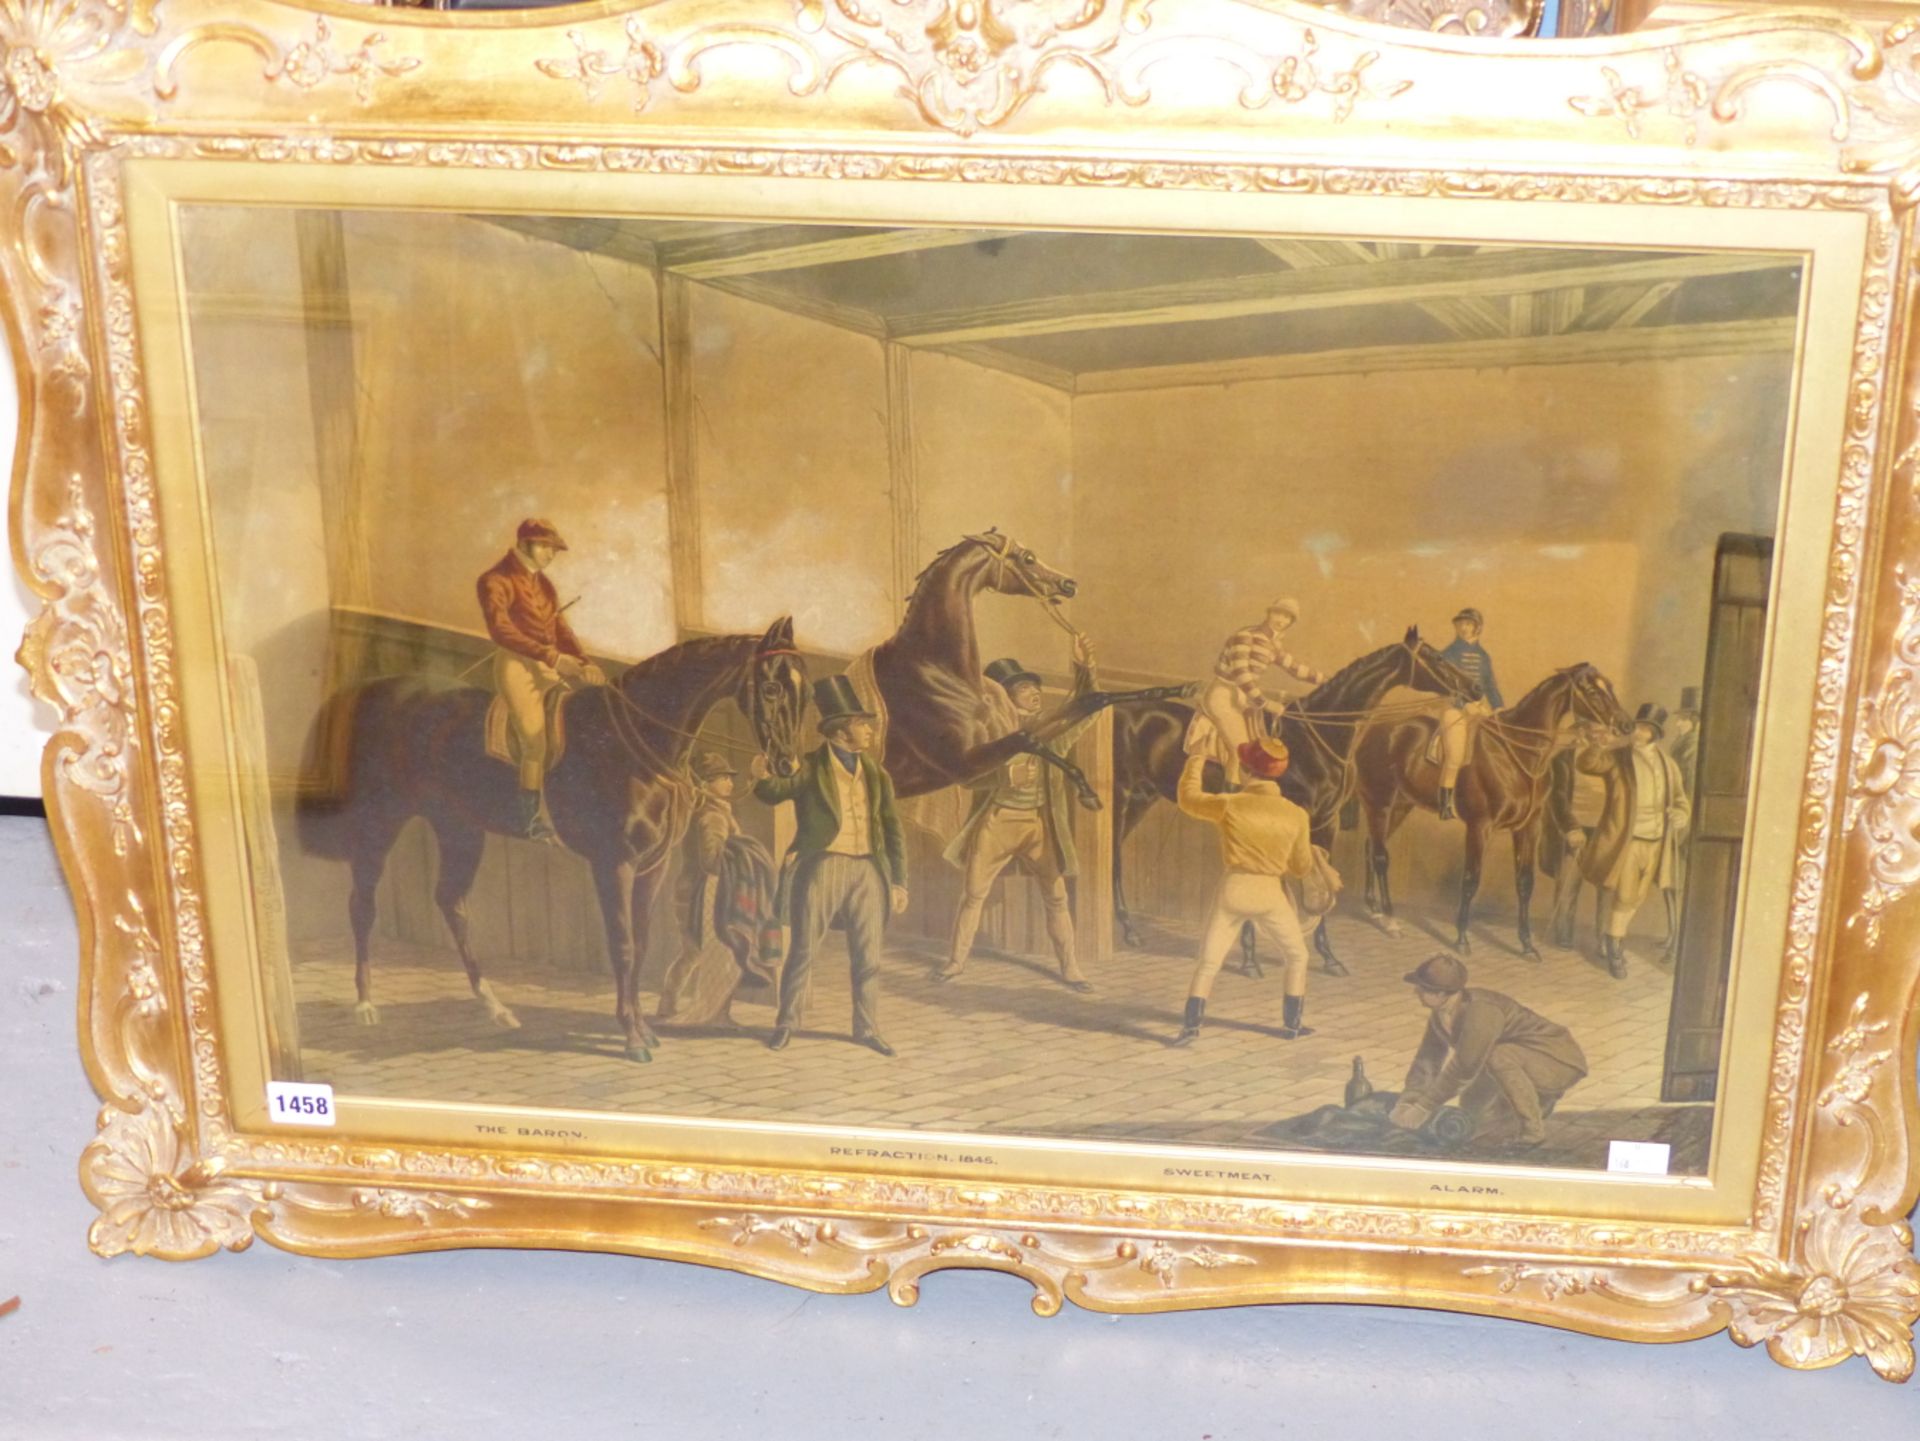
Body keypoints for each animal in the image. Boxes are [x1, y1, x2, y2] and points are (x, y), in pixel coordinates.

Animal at [293, 614, 810, 1066]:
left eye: (802, 687)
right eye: (770, 686)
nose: (787, 764)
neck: (631, 743)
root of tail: (369, 693)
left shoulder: (652, 865)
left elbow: (642, 945)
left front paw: (645, 1030)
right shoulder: (614, 864)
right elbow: (623, 946)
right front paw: (632, 1038)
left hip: (459, 828)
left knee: (452, 904)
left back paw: (496, 1009)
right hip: (379, 824)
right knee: (363, 905)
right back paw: (365, 1005)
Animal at [1105, 625, 1474, 974]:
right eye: (1436, 658)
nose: (1472, 688)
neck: (1314, 739)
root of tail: (1121, 711)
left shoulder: (1326, 823)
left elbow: (1321, 883)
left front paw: (1328, 957)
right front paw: (1251, 958)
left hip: (1141, 800)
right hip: (1121, 800)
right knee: (1114, 857)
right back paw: (1127, 929)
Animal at [1359, 663, 1628, 959]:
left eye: (1610, 686)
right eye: (1591, 691)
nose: (1626, 723)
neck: (1518, 753)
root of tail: (1376, 730)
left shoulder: (1528, 827)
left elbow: (1525, 883)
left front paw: (1527, 944)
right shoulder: (1480, 826)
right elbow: (1470, 880)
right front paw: (1461, 939)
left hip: (1400, 806)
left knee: (1371, 846)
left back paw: (1373, 908)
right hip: (1379, 803)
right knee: (1380, 856)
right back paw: (1390, 920)